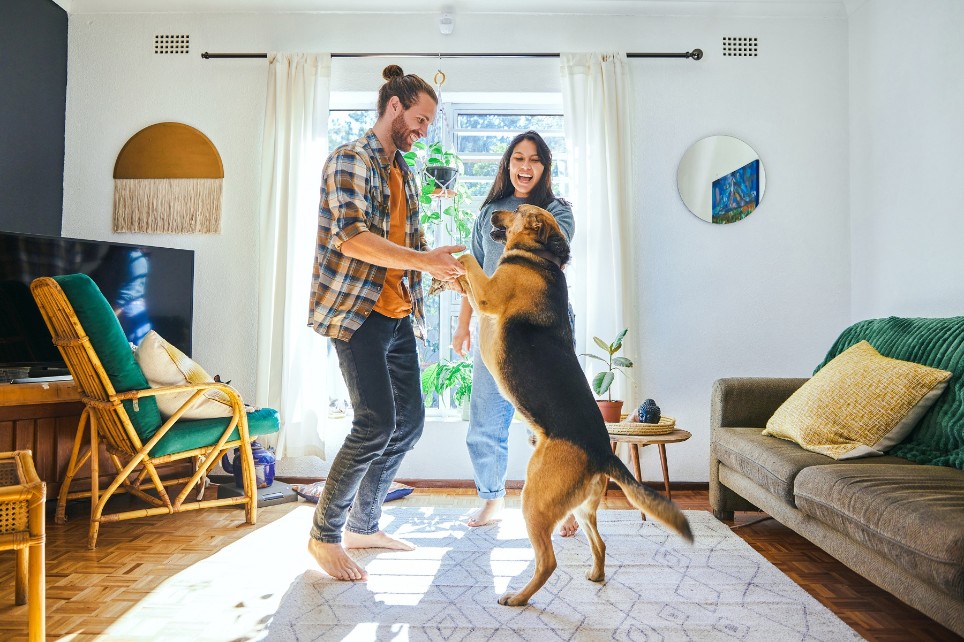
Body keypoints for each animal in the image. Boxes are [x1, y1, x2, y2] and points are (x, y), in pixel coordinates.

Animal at [456, 202, 688, 604]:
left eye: (516, 209)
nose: (490, 213)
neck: (540, 256)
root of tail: (604, 453)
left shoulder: (488, 294)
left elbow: (469, 261)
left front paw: (452, 252)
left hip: (534, 500)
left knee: (547, 562)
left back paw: (517, 598)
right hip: (581, 507)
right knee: (600, 543)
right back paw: (595, 575)